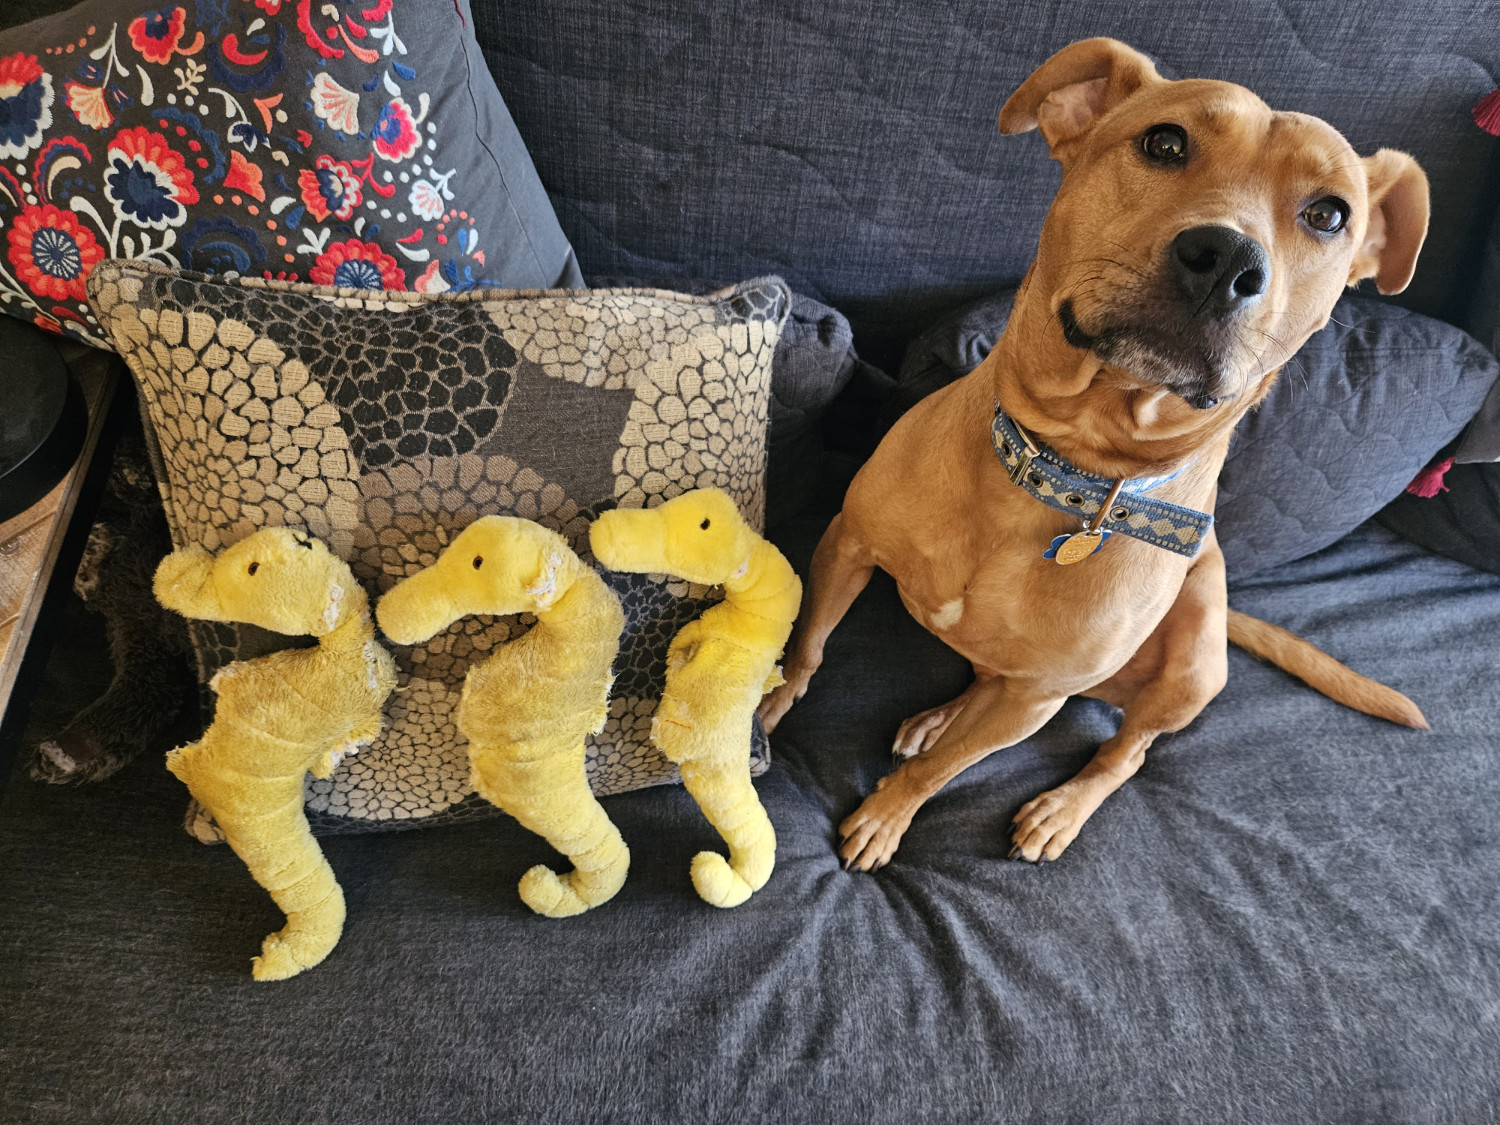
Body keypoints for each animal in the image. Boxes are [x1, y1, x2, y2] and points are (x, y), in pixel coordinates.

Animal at [762, 39, 1428, 870]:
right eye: (1165, 143)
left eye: (1329, 214)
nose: (1226, 258)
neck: (1065, 467)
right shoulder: (847, 541)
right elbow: (809, 641)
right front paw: (770, 698)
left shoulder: (1038, 695)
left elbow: (939, 774)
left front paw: (888, 814)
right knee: (984, 685)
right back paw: (940, 715)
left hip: (1192, 662)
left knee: (1127, 751)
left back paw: (1062, 805)